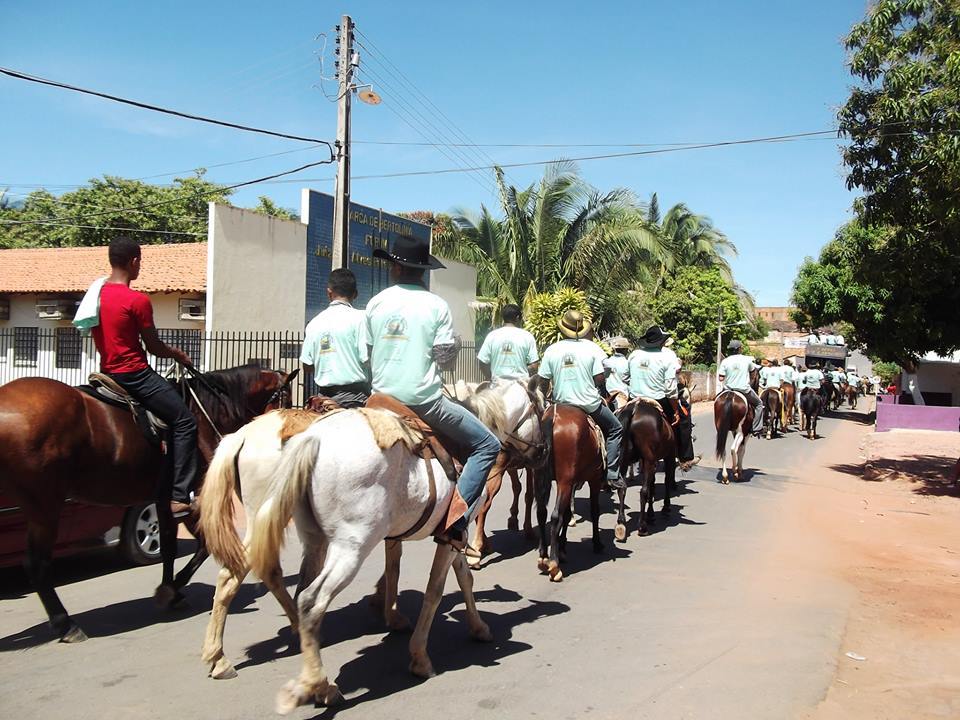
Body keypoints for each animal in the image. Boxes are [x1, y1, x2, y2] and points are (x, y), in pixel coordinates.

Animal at [0, 366, 296, 640]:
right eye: (287, 398)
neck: (204, 412)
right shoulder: (187, 494)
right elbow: (199, 545)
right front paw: (172, 589)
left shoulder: (164, 498)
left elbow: (170, 545)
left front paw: (171, 590)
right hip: (45, 505)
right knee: (36, 563)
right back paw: (65, 623)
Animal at [532, 402, 600, 584]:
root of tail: (552, 417)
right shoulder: (593, 480)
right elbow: (594, 511)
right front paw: (598, 543)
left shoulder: (573, 482)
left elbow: (568, 514)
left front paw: (562, 548)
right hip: (564, 481)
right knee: (556, 516)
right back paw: (554, 565)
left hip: (539, 475)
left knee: (542, 513)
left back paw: (543, 556)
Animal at [616, 400, 676, 540]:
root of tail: (633, 409)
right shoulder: (668, 456)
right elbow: (665, 481)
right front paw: (665, 508)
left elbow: (652, 485)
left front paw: (651, 514)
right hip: (649, 459)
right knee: (643, 491)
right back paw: (642, 527)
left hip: (623, 459)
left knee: (622, 488)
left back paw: (621, 524)